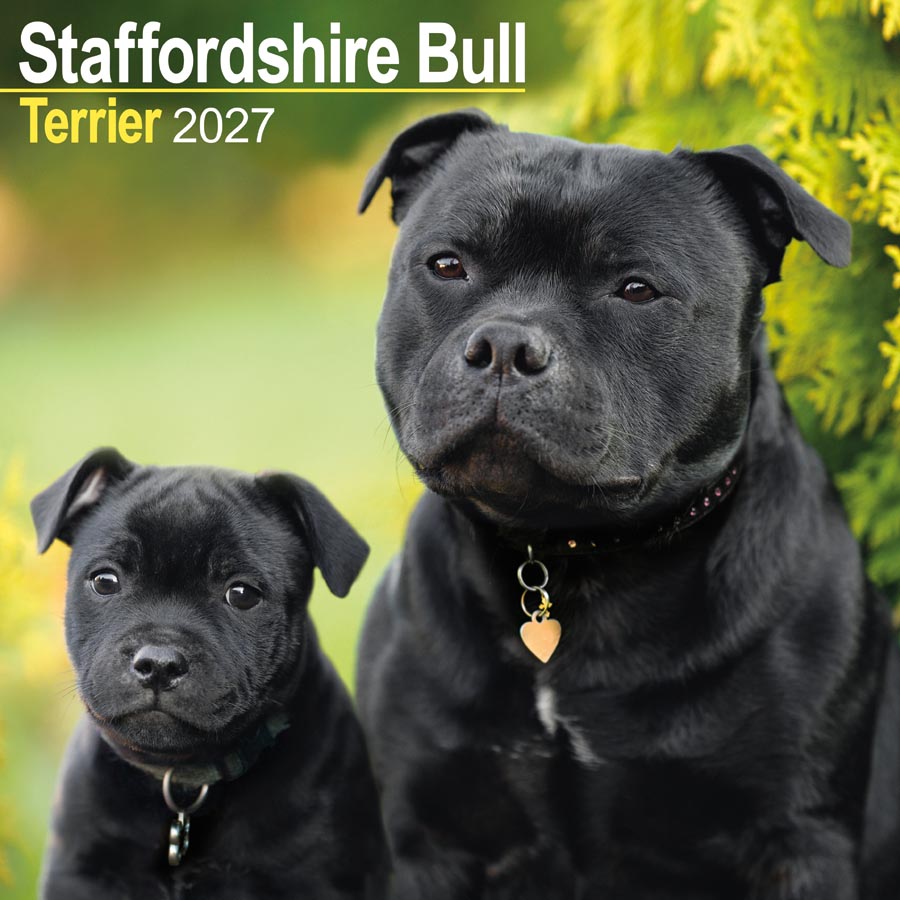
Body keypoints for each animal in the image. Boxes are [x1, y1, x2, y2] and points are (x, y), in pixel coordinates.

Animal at [355, 109, 900, 899]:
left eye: (637, 289)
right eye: (448, 265)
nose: (505, 345)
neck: (569, 557)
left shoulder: (798, 841)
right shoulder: (427, 839)